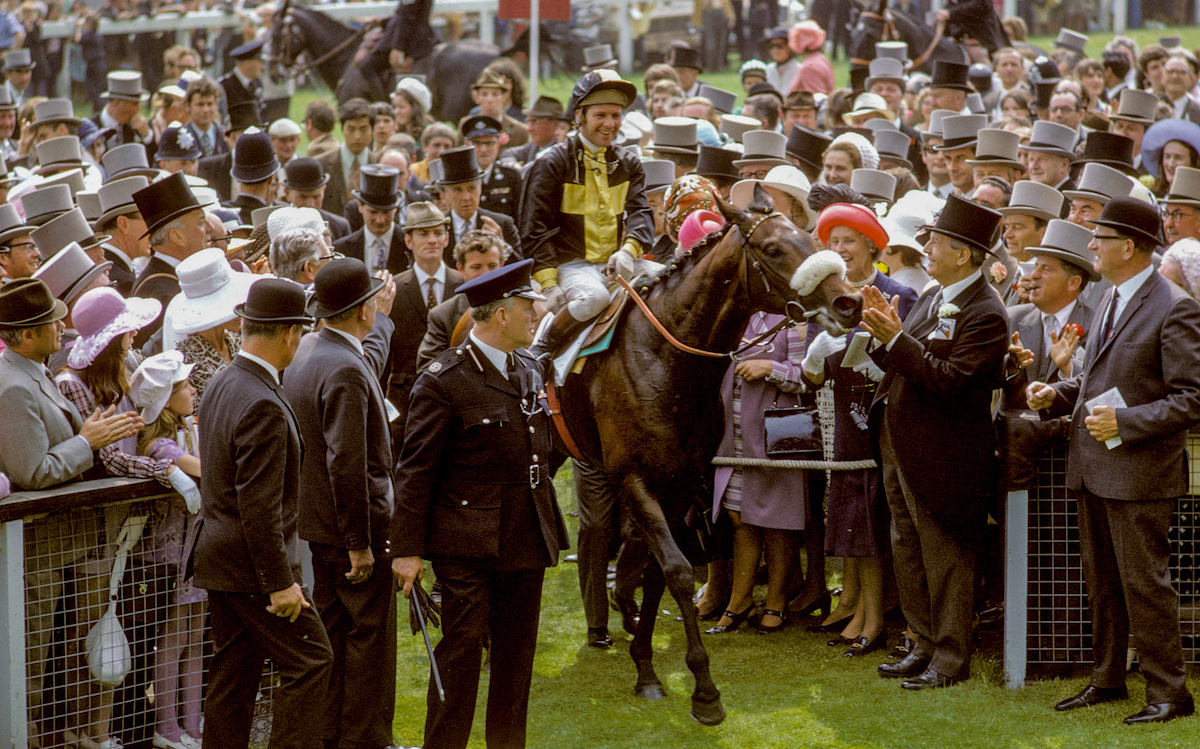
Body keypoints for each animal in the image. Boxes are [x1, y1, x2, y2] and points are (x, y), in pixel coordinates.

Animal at [554, 188, 864, 724]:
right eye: (774, 249)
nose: (850, 301)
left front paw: (647, 667)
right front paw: (703, 690)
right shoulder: (634, 478)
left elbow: (661, 571)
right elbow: (677, 571)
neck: (664, 363)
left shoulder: (681, 483)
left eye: (812, 236)